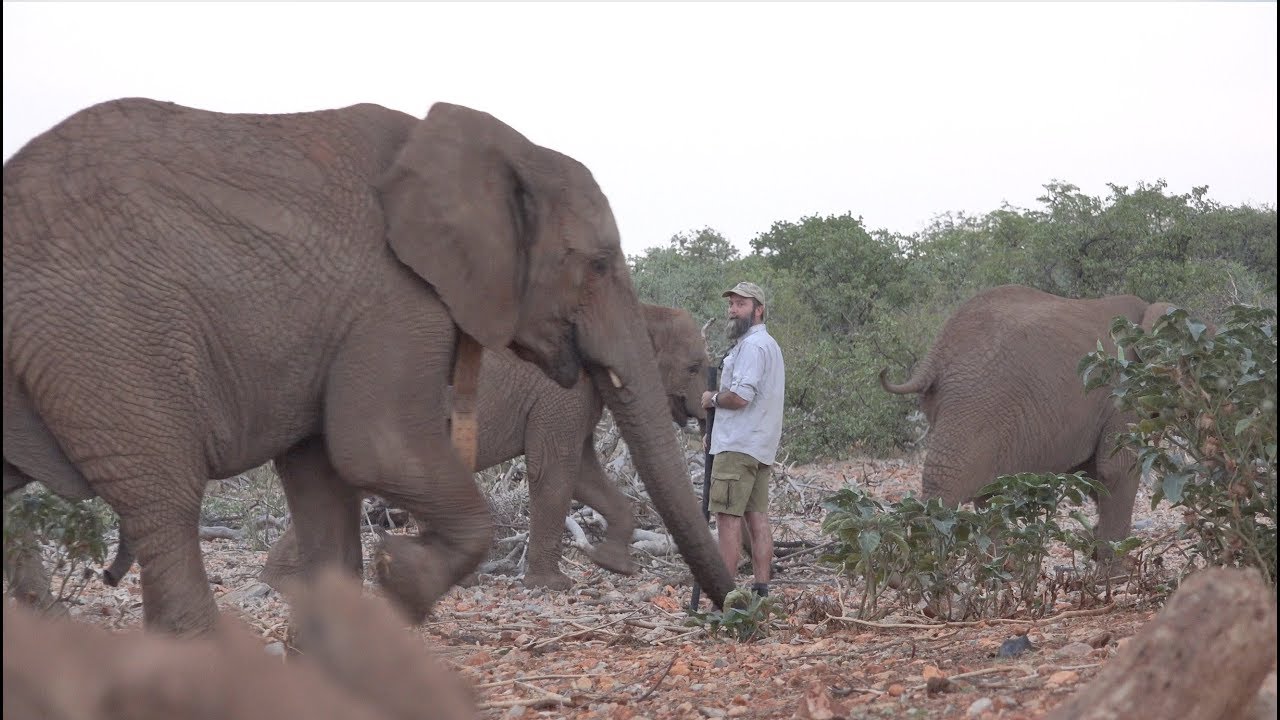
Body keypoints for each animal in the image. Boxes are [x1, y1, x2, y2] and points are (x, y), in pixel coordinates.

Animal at [3, 97, 734, 636]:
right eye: (601, 264)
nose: (738, 608)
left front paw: (610, 564)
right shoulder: (395, 302)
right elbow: (396, 452)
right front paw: (420, 578)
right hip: (105, 339)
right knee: (166, 498)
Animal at [879, 284, 1181, 549]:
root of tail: (935, 353)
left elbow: (1096, 476)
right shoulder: (1124, 391)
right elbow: (1115, 471)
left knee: (987, 493)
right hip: (977, 403)